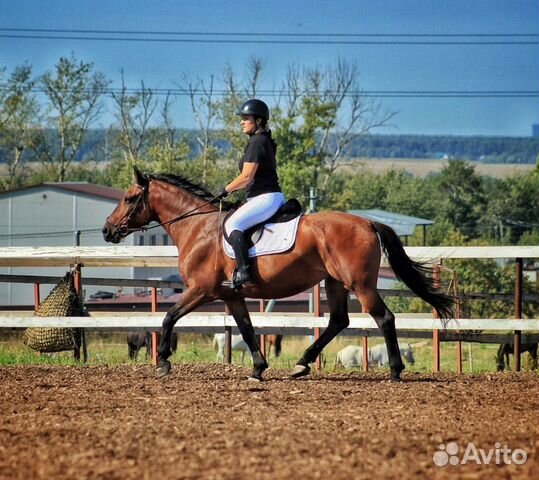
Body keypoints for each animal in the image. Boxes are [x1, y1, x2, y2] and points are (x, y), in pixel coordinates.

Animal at [102, 168, 456, 382]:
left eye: (129, 198)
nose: (107, 231)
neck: (197, 227)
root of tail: (368, 222)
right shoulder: (230, 295)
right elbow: (246, 329)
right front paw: (258, 369)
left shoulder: (202, 290)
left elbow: (168, 317)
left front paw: (162, 362)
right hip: (335, 282)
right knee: (338, 321)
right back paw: (302, 364)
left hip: (360, 284)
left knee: (384, 318)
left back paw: (395, 371)